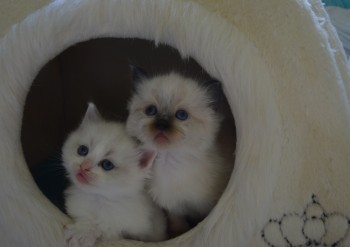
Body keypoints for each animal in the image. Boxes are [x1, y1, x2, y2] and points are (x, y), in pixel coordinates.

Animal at [63, 103, 167, 247]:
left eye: (107, 165)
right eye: (82, 150)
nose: (83, 166)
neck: (99, 200)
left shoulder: (138, 233)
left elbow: (108, 229)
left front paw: (84, 234)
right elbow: (88, 219)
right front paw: (83, 230)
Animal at [126, 68, 232, 234]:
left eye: (182, 115)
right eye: (151, 110)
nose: (161, 124)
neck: (167, 160)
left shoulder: (206, 208)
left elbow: (200, 223)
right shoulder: (174, 208)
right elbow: (179, 226)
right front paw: (178, 234)